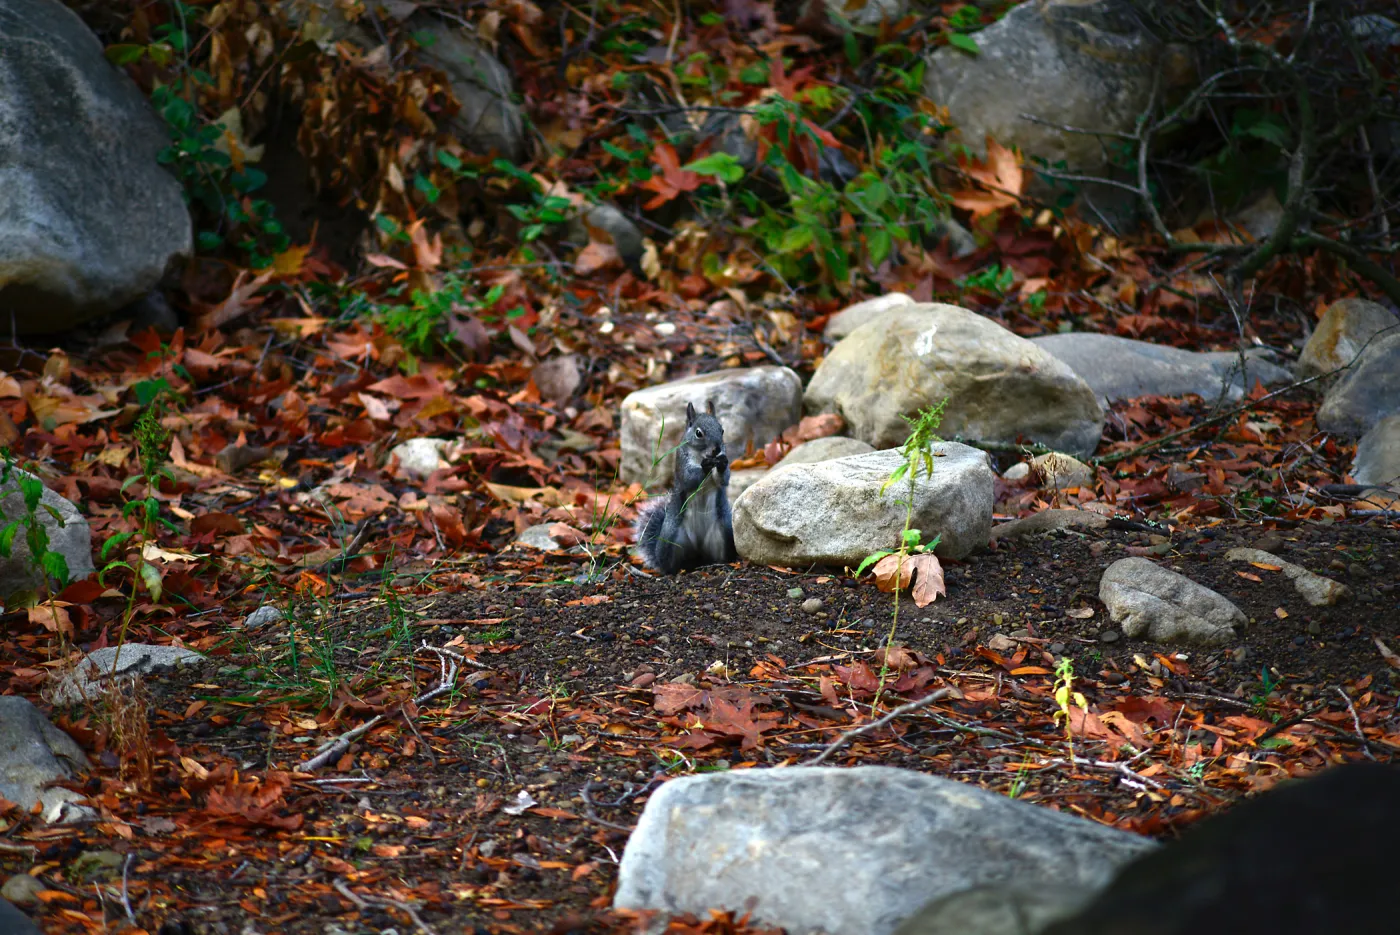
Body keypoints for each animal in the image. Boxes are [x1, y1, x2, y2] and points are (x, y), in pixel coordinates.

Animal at [635, 399, 738, 574]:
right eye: (698, 433)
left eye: (722, 430)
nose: (717, 448)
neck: (702, 455)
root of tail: (698, 553)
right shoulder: (681, 464)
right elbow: (689, 479)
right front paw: (705, 466)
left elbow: (723, 480)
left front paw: (722, 464)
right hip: (671, 540)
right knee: (671, 564)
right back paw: (673, 569)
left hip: (724, 531)